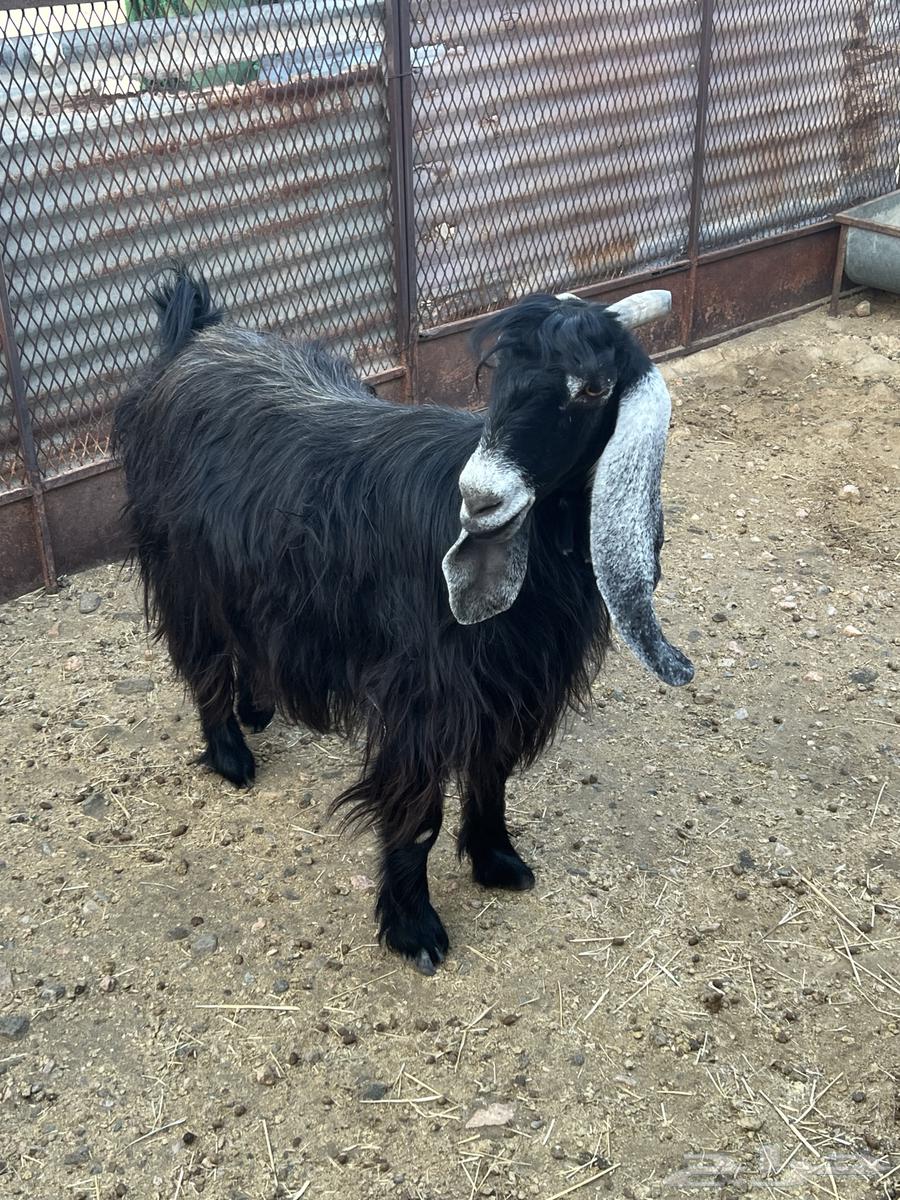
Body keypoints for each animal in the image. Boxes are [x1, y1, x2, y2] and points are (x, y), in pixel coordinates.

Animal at [114, 267, 693, 973]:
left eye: (594, 387)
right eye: (500, 376)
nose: (480, 497)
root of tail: (192, 338)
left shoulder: (507, 682)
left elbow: (491, 771)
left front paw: (497, 860)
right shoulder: (423, 688)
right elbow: (418, 811)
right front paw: (414, 927)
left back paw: (257, 709)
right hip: (184, 569)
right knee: (202, 656)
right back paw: (231, 754)